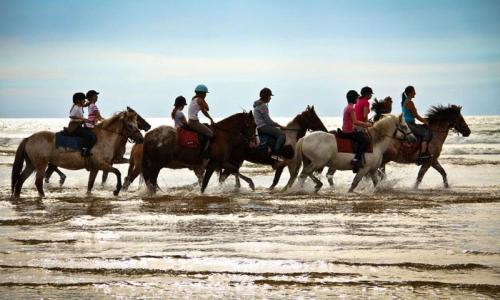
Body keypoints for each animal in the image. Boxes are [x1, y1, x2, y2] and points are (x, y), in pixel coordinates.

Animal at [10, 109, 144, 198]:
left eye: (136, 124)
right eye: (130, 125)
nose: (141, 138)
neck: (104, 138)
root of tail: (29, 138)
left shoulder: (95, 168)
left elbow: (90, 184)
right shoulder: (101, 165)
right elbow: (117, 172)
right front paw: (116, 191)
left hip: (31, 164)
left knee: (20, 180)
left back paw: (17, 197)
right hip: (41, 165)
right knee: (38, 182)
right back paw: (43, 197)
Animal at [284, 115, 416, 192]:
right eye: (404, 126)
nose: (413, 139)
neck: (375, 143)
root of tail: (304, 139)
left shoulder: (372, 170)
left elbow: (376, 183)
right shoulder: (364, 169)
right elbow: (354, 184)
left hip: (310, 162)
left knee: (305, 173)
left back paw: (314, 185)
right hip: (318, 162)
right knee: (304, 174)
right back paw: (306, 187)